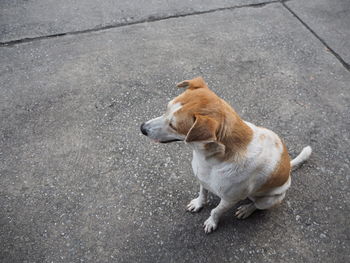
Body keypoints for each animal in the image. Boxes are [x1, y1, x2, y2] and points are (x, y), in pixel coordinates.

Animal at [139, 77, 312, 234]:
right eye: (166, 109)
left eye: (173, 125)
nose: (142, 128)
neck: (211, 160)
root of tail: (288, 168)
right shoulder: (203, 180)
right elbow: (203, 193)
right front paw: (199, 203)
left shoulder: (229, 200)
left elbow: (216, 211)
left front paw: (211, 222)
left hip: (269, 200)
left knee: (257, 205)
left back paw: (246, 209)